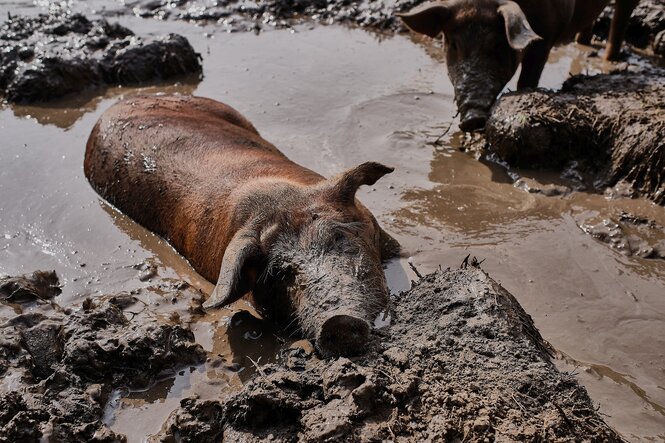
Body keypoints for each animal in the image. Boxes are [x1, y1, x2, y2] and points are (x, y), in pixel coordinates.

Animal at [396, 0, 640, 131]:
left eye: (496, 44)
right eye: (454, 44)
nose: (472, 118)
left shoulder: (546, 38)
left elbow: (528, 78)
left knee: (621, 18)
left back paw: (611, 61)